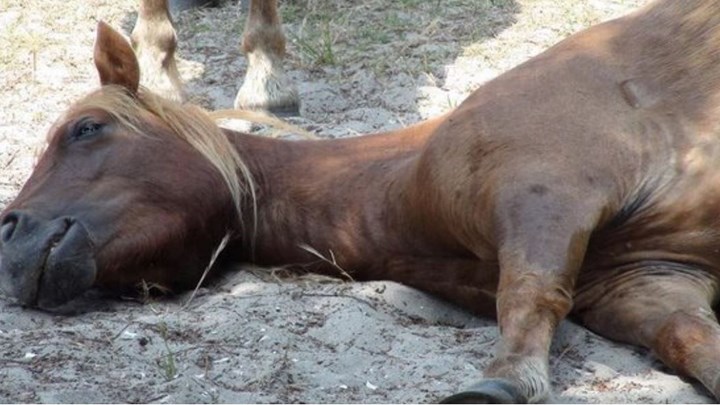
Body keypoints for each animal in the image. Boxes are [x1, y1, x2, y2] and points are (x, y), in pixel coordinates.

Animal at [4, 0, 720, 400]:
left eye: (86, 129)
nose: (10, 232)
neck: (405, 180)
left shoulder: (546, 194)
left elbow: (530, 293)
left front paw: (504, 380)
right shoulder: (649, 281)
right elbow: (690, 341)